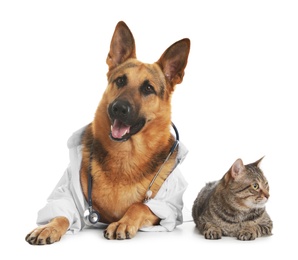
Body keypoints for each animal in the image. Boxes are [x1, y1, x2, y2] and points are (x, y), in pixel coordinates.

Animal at [25, 21, 189, 245]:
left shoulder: (167, 207)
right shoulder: (69, 195)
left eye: (148, 88)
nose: (119, 108)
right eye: (120, 81)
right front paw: (48, 227)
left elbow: (139, 205)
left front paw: (123, 223)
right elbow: (61, 214)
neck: (125, 156)